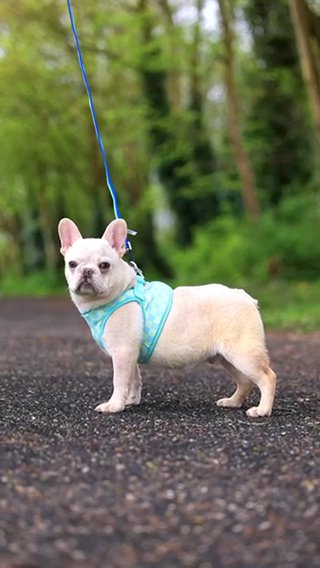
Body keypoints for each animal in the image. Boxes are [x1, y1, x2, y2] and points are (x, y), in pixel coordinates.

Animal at [58, 217, 276, 418]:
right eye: (72, 264)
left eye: (104, 265)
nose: (87, 271)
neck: (120, 291)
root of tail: (245, 297)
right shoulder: (131, 355)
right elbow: (134, 379)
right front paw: (131, 400)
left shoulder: (122, 352)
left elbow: (119, 381)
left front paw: (114, 405)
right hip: (228, 358)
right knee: (245, 381)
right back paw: (233, 402)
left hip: (243, 354)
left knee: (267, 377)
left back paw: (262, 410)